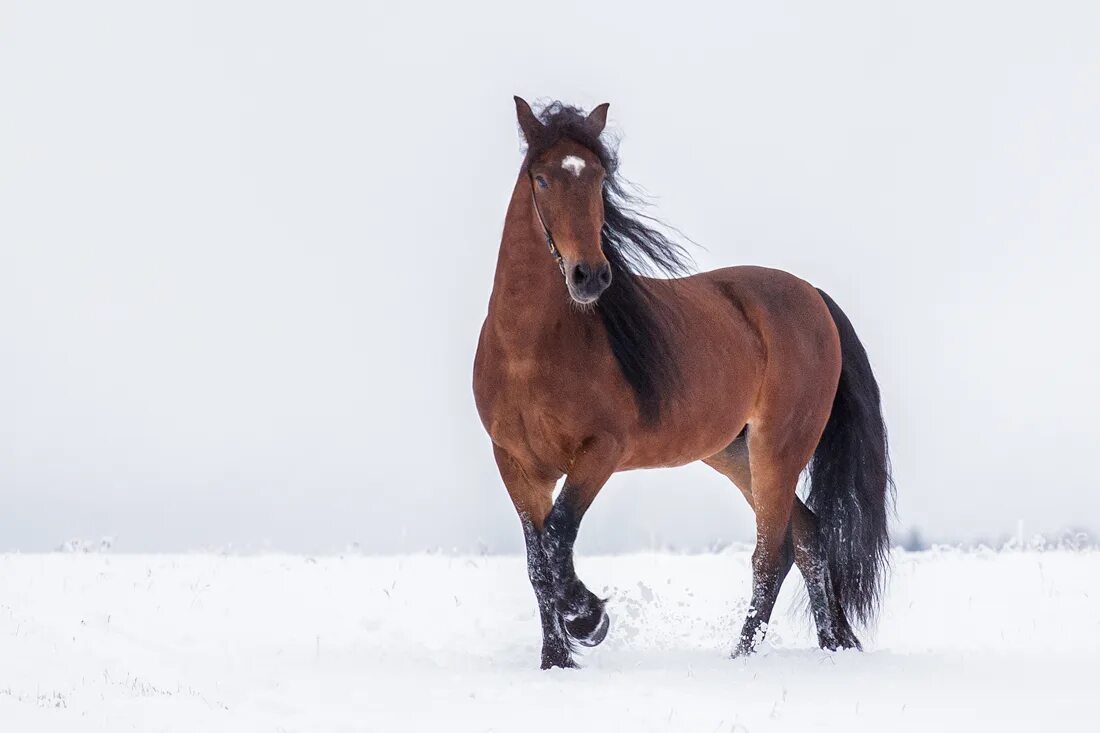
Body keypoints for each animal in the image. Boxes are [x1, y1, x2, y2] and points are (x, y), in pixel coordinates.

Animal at [473, 98, 893, 669]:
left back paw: (743, 656)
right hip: (734, 453)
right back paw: (831, 642)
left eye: (599, 177)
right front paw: (555, 661)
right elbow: (538, 563)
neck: (527, 351)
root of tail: (813, 296)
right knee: (807, 538)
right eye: (541, 178)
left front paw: (589, 620)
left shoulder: (601, 451)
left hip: (777, 448)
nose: (590, 276)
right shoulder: (516, 465)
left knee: (772, 553)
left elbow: (558, 538)